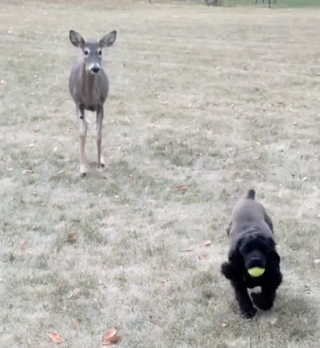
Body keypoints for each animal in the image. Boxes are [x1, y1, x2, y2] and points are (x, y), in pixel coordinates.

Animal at [68, 29, 117, 177]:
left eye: (100, 51)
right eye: (86, 52)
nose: (95, 68)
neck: (89, 97)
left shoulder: (101, 104)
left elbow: (99, 134)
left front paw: (99, 166)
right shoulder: (79, 103)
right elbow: (81, 132)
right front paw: (82, 168)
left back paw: (102, 161)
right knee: (85, 126)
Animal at [220, 189, 282, 320]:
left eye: (265, 250)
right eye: (246, 250)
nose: (255, 260)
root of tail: (249, 199)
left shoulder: (272, 275)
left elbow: (268, 296)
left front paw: (257, 298)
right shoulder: (237, 277)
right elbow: (242, 295)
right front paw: (248, 311)